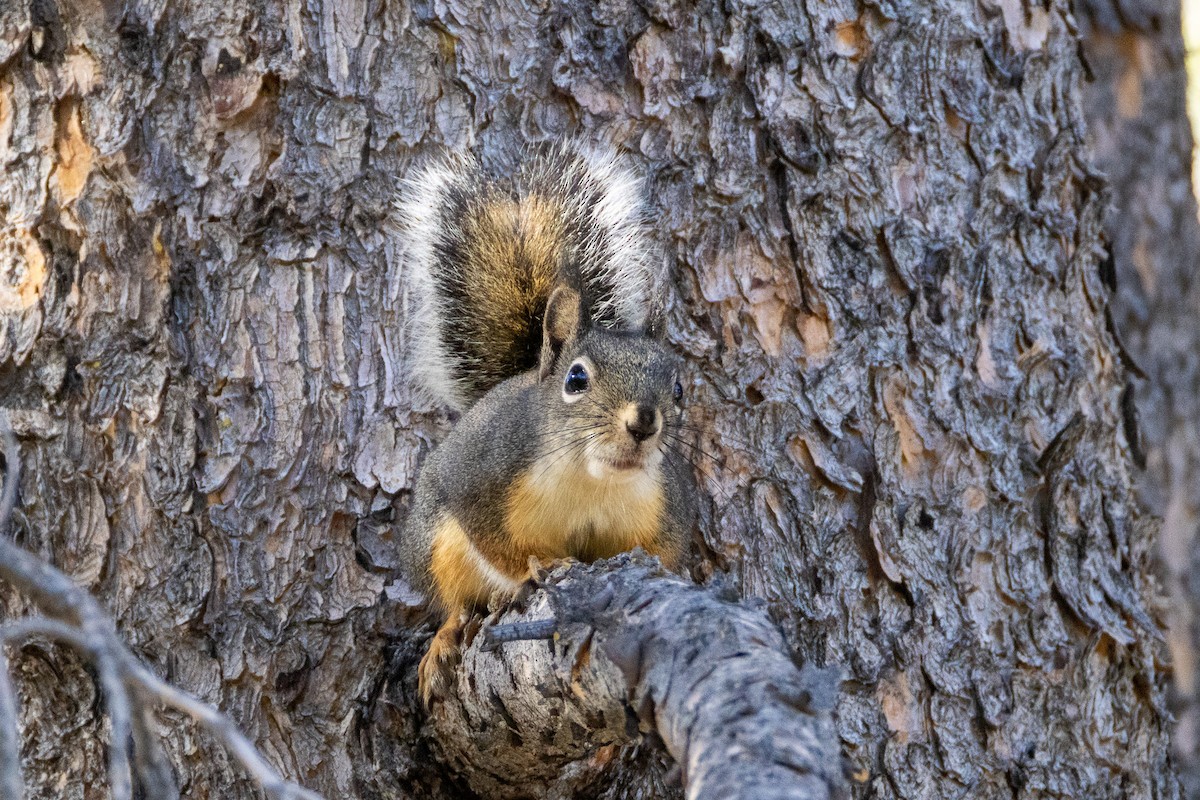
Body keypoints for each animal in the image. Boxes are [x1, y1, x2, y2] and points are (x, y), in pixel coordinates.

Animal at [396, 143, 698, 705]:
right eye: (576, 379)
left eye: (679, 389)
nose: (644, 422)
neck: (591, 481)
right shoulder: (480, 477)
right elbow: (495, 543)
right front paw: (539, 567)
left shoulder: (666, 510)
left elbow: (663, 558)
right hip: (432, 542)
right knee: (453, 600)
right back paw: (446, 639)